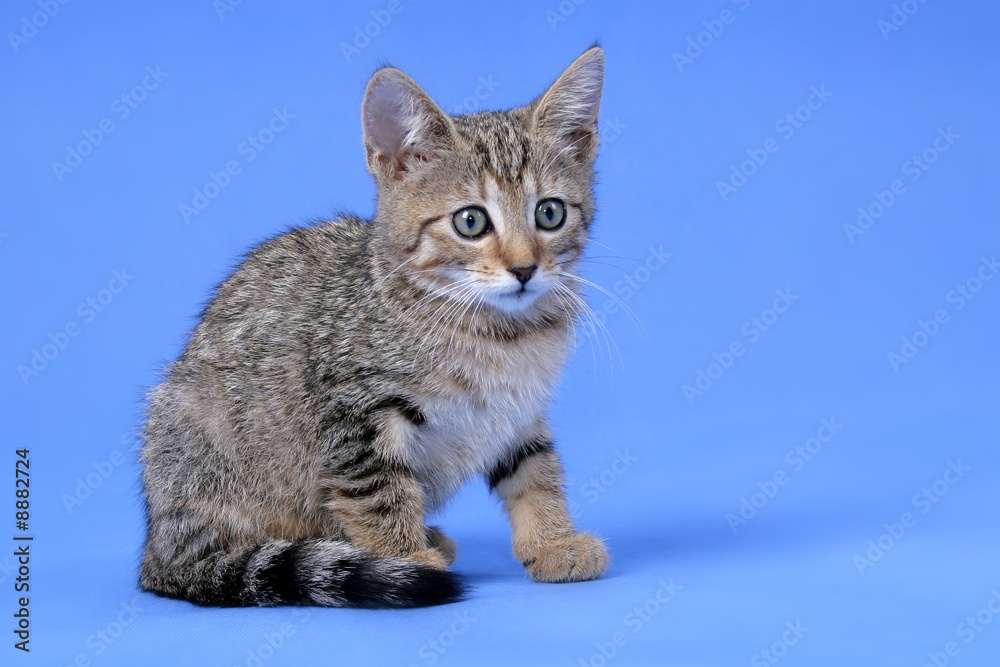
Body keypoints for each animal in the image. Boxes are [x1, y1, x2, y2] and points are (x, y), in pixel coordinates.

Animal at [141, 48, 608, 612]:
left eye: (550, 213)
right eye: (471, 222)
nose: (524, 269)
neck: (496, 331)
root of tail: (157, 549)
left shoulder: (518, 411)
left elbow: (534, 470)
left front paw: (554, 541)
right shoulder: (351, 413)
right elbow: (378, 490)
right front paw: (405, 557)